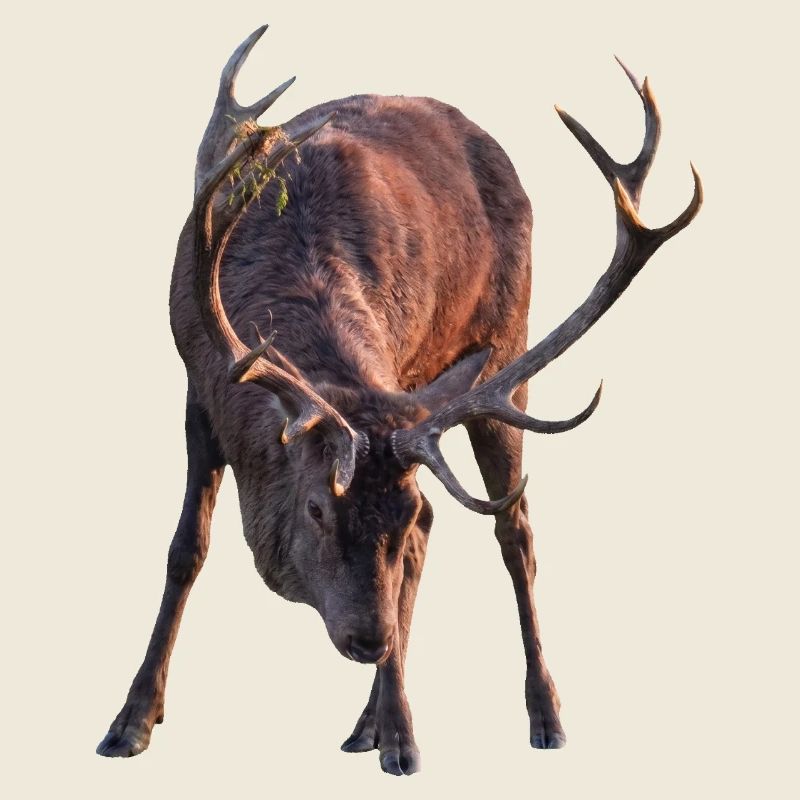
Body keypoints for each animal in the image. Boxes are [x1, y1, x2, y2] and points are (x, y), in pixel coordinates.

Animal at [96, 25, 701, 775]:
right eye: (317, 507)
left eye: (396, 510)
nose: (371, 640)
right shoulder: (198, 390)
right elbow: (186, 549)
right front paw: (130, 723)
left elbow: (422, 542)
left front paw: (405, 737)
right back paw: (370, 723)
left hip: (506, 348)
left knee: (514, 530)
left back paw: (536, 715)